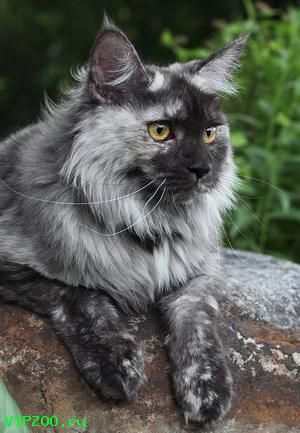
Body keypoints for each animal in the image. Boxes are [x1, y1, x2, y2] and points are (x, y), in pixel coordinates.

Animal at [0, 16, 246, 426]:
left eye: (210, 134)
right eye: (160, 131)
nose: (203, 169)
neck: (148, 222)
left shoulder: (201, 273)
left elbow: (198, 323)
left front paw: (206, 389)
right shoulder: (19, 268)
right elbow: (82, 296)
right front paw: (117, 362)